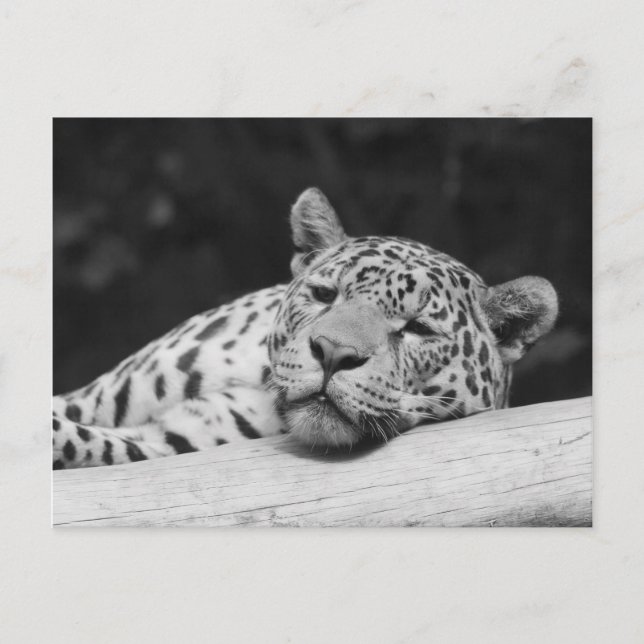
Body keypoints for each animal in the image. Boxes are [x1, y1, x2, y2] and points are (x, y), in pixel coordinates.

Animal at [52, 188, 558, 469]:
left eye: (418, 328)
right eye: (324, 294)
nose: (333, 353)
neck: (258, 381)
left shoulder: (172, 444)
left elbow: (82, 441)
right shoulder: (92, 397)